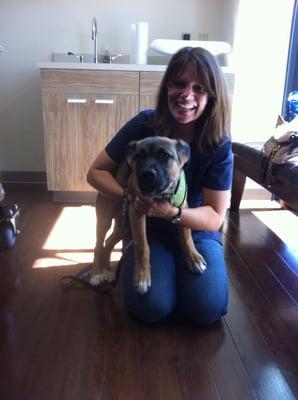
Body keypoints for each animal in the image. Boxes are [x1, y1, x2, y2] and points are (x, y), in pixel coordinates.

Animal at [91, 136, 206, 296]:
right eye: (139, 156)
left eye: (164, 156)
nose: (147, 175)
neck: (163, 196)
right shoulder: (137, 211)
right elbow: (142, 246)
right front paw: (142, 277)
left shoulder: (183, 208)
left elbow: (186, 237)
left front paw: (194, 258)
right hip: (105, 219)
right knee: (98, 244)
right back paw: (97, 273)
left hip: (123, 225)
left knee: (108, 243)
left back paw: (108, 270)